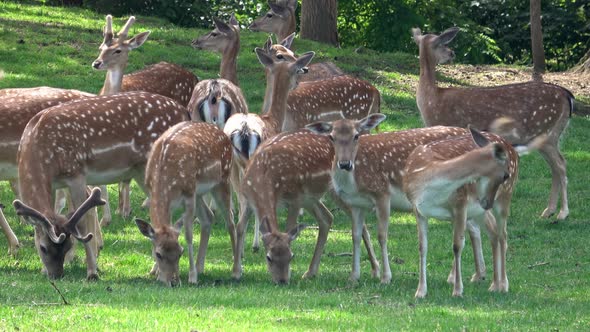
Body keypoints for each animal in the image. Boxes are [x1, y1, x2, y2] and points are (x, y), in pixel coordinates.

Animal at [17, 91, 190, 280]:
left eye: (67, 246)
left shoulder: (76, 173)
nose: (56, 275)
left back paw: (161, 271)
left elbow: (83, 223)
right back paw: (156, 270)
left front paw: (92, 272)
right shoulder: (55, 183)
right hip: (140, 172)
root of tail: (184, 113)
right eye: (43, 248)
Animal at [136, 122, 238, 286]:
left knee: (231, 221)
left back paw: (236, 270)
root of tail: (223, 133)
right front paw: (156, 273)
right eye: (158, 254)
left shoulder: (189, 195)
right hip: (200, 193)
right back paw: (200, 266)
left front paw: (192, 277)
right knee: (208, 217)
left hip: (222, 180)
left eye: (180, 252)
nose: (173, 281)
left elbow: (189, 235)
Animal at [404, 127, 528, 298]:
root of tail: (512, 149)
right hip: (479, 210)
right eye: (505, 174)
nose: (488, 202)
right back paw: (494, 285)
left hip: (504, 198)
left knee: (503, 235)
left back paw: (503, 285)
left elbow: (457, 245)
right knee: (494, 232)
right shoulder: (418, 209)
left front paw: (457, 290)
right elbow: (422, 247)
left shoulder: (460, 203)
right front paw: (420, 291)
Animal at [414, 27, 576, 222]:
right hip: (548, 136)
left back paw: (562, 213)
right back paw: (548, 211)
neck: (431, 99)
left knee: (561, 165)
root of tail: (568, 95)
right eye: (444, 45)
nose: (453, 53)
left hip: (547, 131)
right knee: (556, 167)